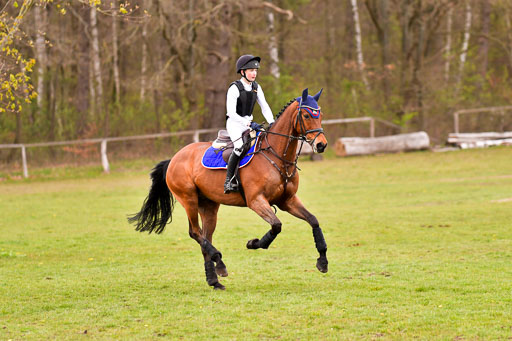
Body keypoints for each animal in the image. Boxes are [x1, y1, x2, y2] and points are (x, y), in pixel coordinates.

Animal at [128, 87, 328, 290]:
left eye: (319, 114)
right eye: (306, 115)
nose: (321, 145)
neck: (276, 156)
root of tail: (174, 158)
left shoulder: (288, 200)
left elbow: (314, 220)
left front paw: (322, 261)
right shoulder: (256, 201)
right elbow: (276, 225)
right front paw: (254, 243)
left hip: (208, 206)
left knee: (205, 237)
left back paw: (214, 279)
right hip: (188, 199)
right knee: (195, 233)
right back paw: (219, 261)